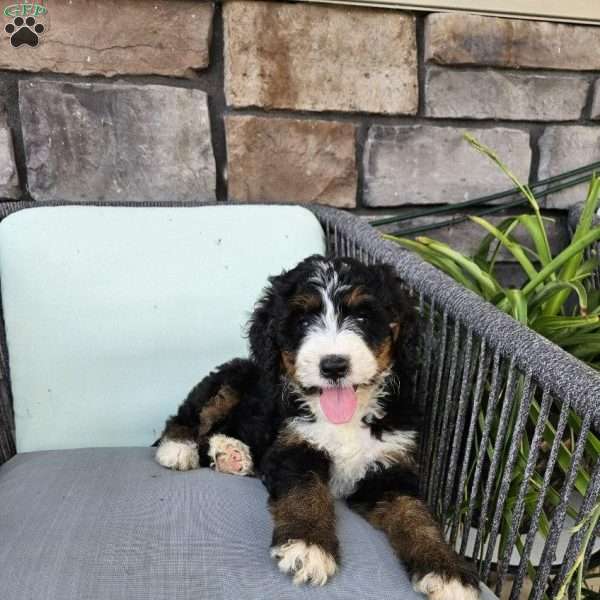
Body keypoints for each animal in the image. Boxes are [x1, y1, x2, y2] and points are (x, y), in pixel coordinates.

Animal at [157, 255, 480, 596]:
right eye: (302, 322)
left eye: (363, 317)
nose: (334, 366)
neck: (346, 418)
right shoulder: (295, 447)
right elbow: (305, 493)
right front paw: (309, 545)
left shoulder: (390, 469)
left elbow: (416, 515)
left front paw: (445, 569)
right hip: (235, 376)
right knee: (192, 416)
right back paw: (179, 448)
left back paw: (232, 454)